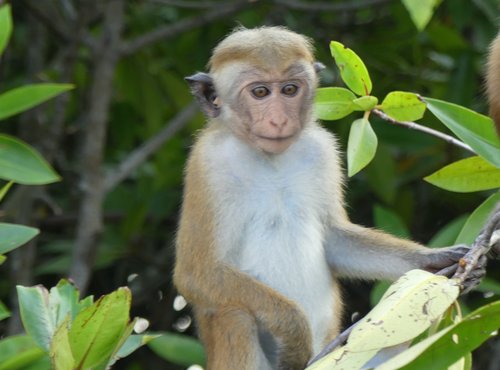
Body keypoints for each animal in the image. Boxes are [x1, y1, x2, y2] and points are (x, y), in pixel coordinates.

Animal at [174, 26, 486, 370]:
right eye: (260, 93)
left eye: (289, 89)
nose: (280, 120)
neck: (270, 160)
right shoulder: (207, 166)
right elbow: (197, 273)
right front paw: (294, 329)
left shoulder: (322, 151)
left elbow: (336, 242)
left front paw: (436, 260)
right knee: (236, 315)